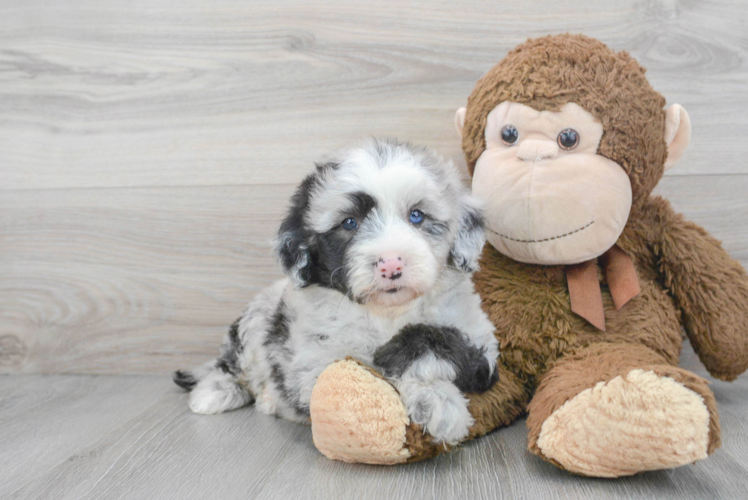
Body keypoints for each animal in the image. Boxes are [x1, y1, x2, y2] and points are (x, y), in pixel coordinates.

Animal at [175, 138, 500, 446]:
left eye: (417, 216)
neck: (386, 311)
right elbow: (371, 381)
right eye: (349, 223)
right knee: (232, 365)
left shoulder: (483, 348)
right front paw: (438, 403)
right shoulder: (318, 368)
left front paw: (436, 399)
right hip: (255, 322)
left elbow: (438, 340)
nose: (391, 264)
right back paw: (216, 392)